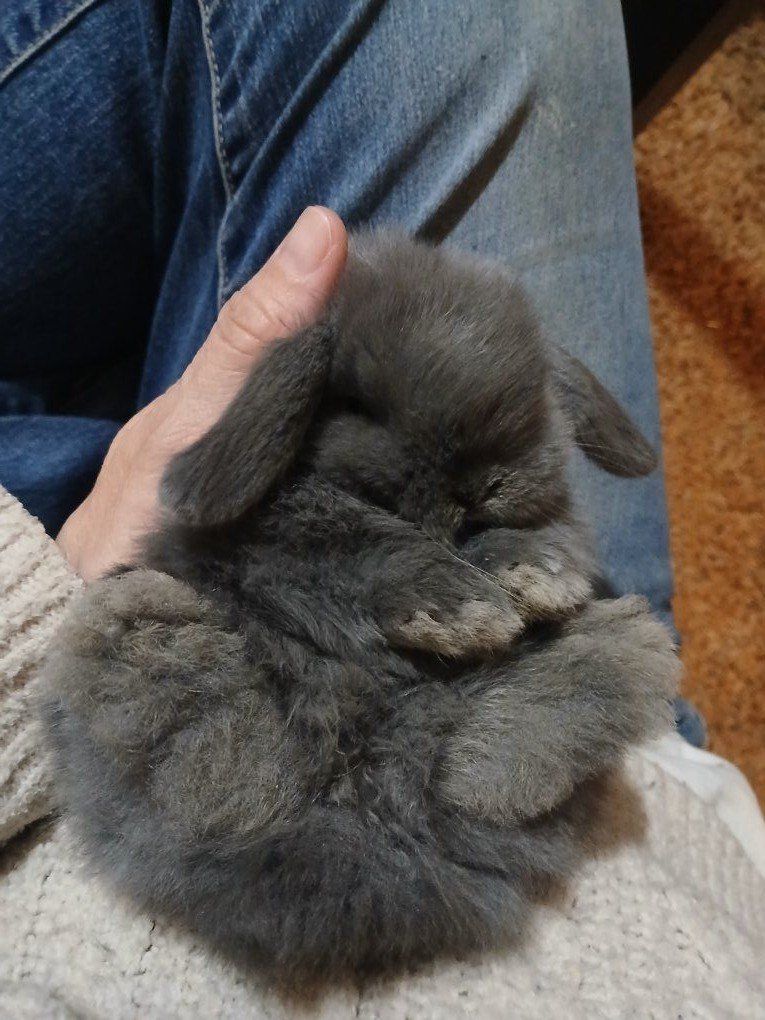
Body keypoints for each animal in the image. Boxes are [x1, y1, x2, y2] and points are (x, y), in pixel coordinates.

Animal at [42, 231, 679, 982]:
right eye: (359, 403)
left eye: (534, 392)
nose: (480, 479)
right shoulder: (277, 541)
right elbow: (351, 539)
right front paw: (465, 609)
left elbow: (546, 534)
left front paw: (537, 578)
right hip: (125, 624)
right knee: (220, 778)